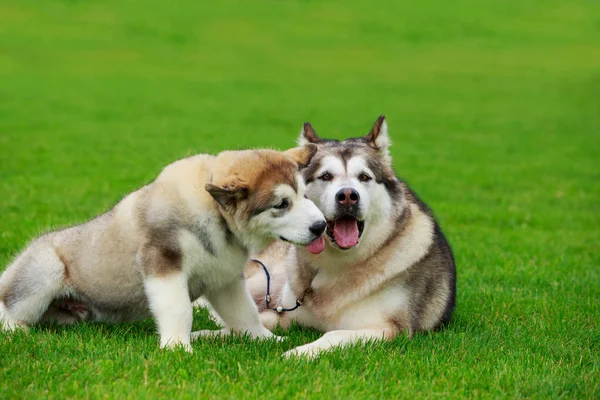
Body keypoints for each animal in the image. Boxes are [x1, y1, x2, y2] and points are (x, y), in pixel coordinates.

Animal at [1, 146, 328, 350]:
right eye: (281, 204)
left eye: (304, 194)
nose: (321, 226)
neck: (216, 215)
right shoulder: (162, 261)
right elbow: (178, 308)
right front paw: (177, 347)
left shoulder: (223, 278)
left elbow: (244, 311)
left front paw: (264, 339)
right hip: (46, 268)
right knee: (10, 305)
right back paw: (16, 330)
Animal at [241, 117, 458, 358]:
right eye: (326, 176)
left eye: (364, 177)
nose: (347, 196)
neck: (339, 264)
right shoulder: (286, 314)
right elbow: (252, 321)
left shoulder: (390, 329)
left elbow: (333, 334)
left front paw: (297, 353)